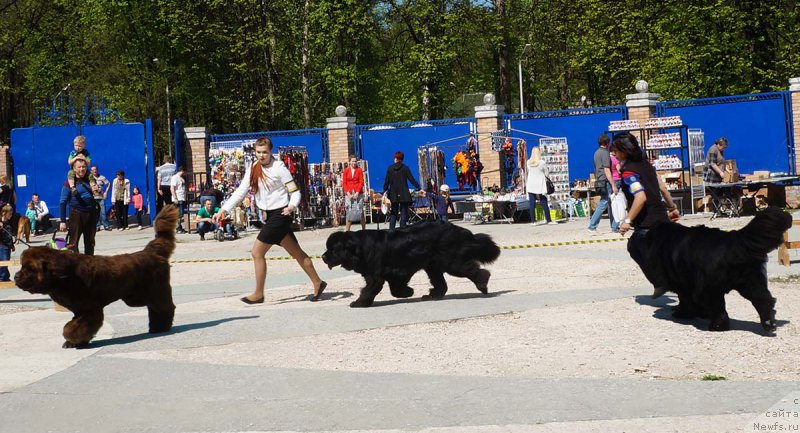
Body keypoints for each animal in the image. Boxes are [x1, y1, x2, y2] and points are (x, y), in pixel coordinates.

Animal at [13, 203, 178, 348]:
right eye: (22, 266)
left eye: (29, 268)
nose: (15, 276)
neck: (64, 277)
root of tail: (151, 251)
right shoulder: (79, 311)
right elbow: (77, 325)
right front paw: (77, 342)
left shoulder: (89, 310)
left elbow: (71, 328)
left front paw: (72, 340)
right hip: (136, 297)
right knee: (155, 308)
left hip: (155, 291)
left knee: (164, 307)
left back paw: (161, 327)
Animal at [644, 206, 792, 330]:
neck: (669, 238)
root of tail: (735, 239)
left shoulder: (681, 281)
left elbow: (685, 299)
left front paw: (683, 313)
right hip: (751, 282)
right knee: (763, 300)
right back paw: (768, 322)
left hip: (708, 287)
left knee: (718, 307)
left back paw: (717, 326)